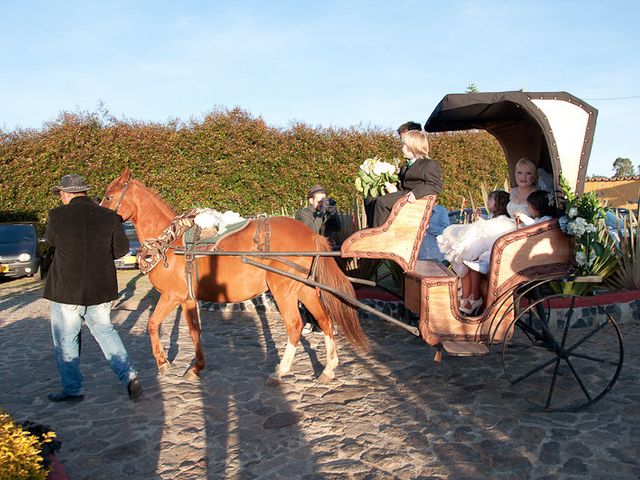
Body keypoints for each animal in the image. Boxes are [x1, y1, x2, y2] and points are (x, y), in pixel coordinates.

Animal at [102, 169, 368, 382]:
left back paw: (281, 370)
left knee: (295, 325)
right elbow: (194, 331)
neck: (170, 241)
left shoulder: (171, 296)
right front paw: (196, 367)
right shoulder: (187, 299)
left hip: (284, 290)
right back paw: (329, 369)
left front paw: (163, 363)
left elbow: (152, 324)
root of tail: (311, 234)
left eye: (108, 196)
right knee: (324, 320)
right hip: (304, 288)